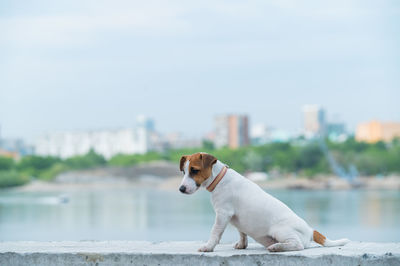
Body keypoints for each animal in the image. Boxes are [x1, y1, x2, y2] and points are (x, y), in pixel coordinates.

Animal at [178, 153, 350, 252]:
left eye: (194, 170)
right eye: (184, 171)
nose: (181, 188)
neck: (220, 179)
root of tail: (311, 230)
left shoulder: (223, 214)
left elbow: (215, 233)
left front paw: (208, 247)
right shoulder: (235, 218)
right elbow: (242, 233)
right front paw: (242, 245)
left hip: (280, 230)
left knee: (297, 245)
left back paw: (277, 247)